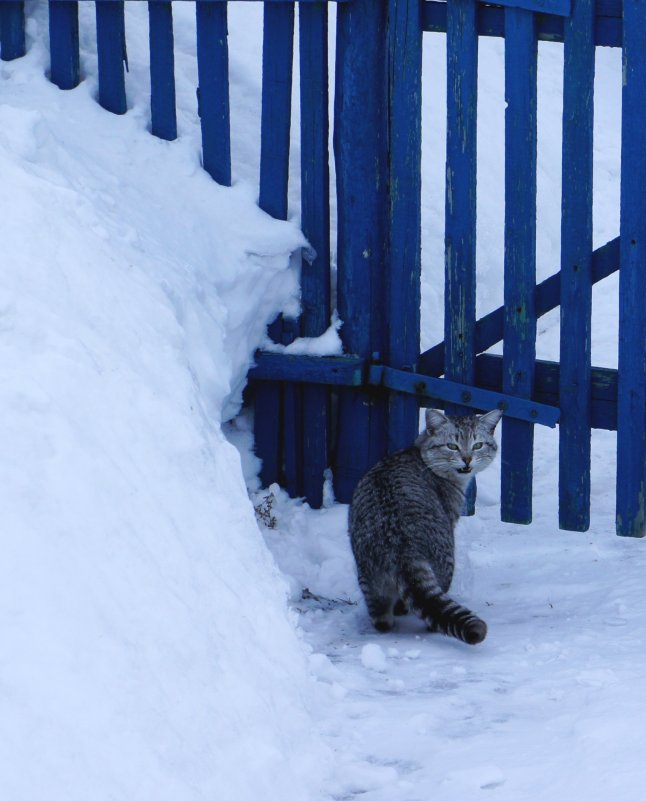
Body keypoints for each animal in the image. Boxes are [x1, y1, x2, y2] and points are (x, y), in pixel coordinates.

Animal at [352, 410, 504, 648]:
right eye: (452, 446)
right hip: (445, 564)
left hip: (368, 577)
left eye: (478, 445)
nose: (467, 459)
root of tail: (402, 548)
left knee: (381, 617)